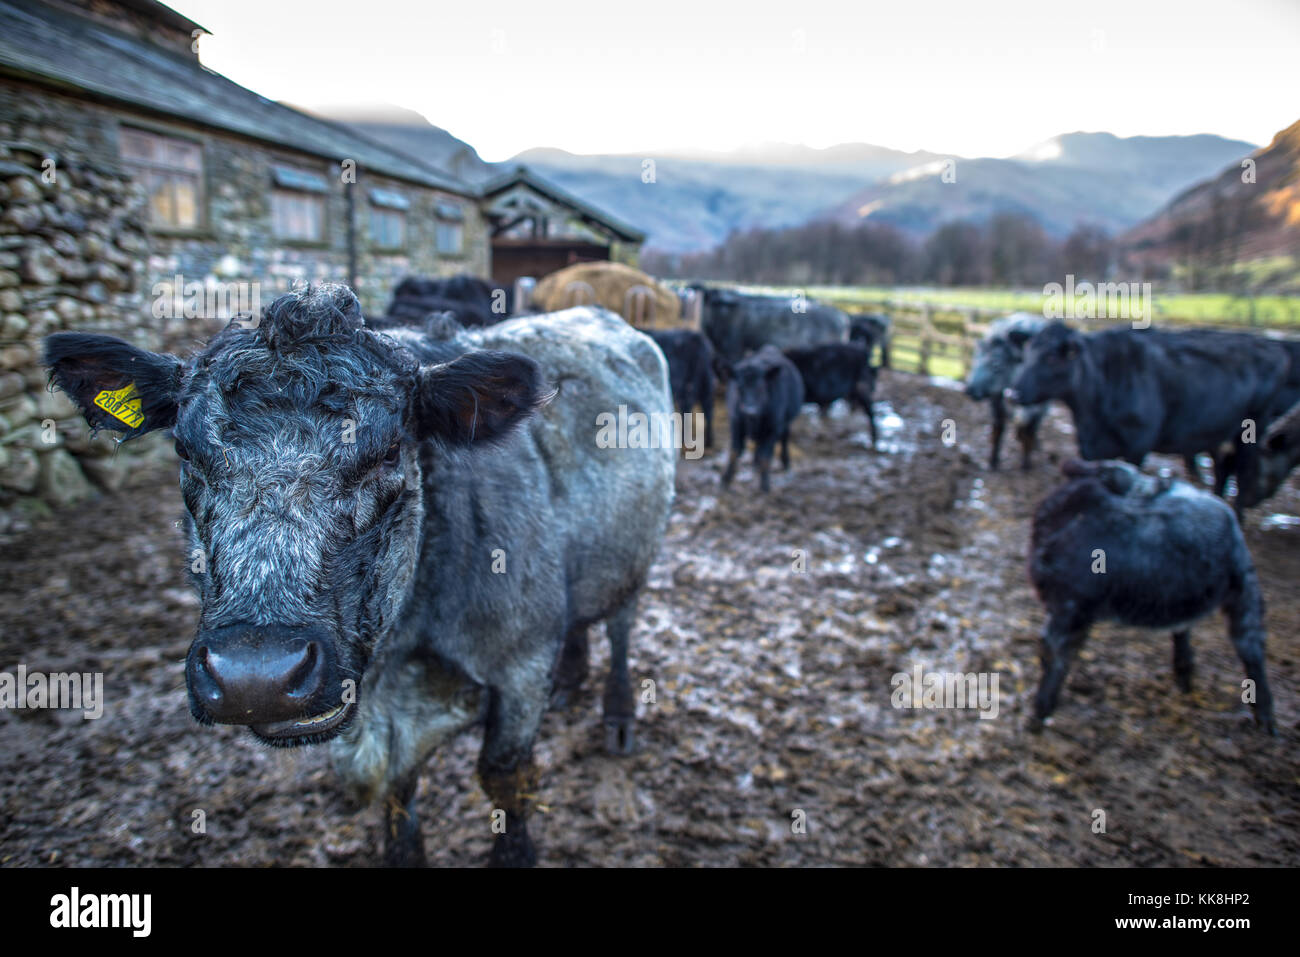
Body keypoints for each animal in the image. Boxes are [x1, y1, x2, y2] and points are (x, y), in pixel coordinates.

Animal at [44, 284, 676, 868]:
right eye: (184, 452)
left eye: (391, 452)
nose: (256, 677)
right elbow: (398, 792)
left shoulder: (519, 669)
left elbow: (504, 779)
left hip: (639, 550)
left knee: (621, 625)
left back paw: (618, 716)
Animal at [719, 345, 804, 492]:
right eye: (739, 387)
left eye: (761, 387)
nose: (750, 411)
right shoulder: (736, 422)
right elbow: (734, 451)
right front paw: (726, 479)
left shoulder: (774, 427)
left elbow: (766, 456)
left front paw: (765, 485)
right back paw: (755, 463)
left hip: (785, 422)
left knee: (784, 438)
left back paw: (785, 461)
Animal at [963, 313, 1048, 470]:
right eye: (975, 359)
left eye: (996, 364)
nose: (969, 389)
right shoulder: (996, 400)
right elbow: (998, 429)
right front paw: (992, 461)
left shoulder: (1041, 408)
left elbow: (1030, 432)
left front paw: (1026, 464)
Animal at [1009, 322, 1290, 511]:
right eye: (1026, 354)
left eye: (1051, 357)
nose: (1012, 392)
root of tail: (1271, 346)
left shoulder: (1137, 446)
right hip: (1218, 432)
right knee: (1222, 471)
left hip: (1254, 429)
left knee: (1242, 475)